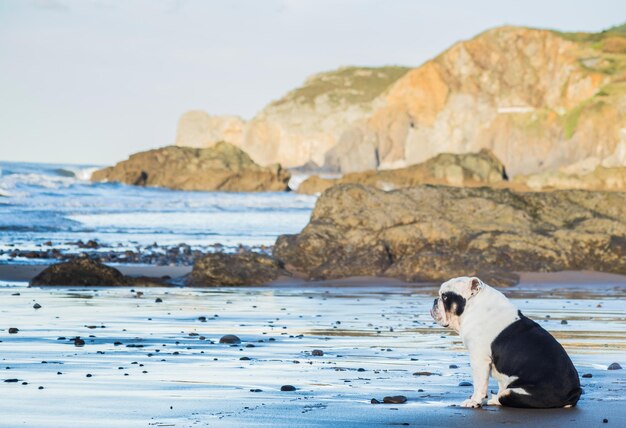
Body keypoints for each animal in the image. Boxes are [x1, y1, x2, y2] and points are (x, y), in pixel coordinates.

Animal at [428, 278, 580, 408]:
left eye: (445, 297)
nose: (435, 300)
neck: (474, 306)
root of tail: (573, 395)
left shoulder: (479, 359)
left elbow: (479, 384)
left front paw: (474, 401)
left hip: (513, 393)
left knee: (503, 396)